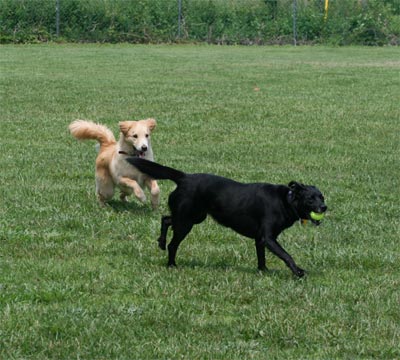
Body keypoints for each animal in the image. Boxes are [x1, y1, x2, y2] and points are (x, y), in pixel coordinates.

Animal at [126, 158, 326, 278]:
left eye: (322, 197)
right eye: (310, 198)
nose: (324, 207)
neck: (286, 200)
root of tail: (184, 177)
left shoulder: (260, 239)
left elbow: (261, 257)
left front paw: (263, 271)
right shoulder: (268, 238)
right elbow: (286, 255)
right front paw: (298, 272)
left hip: (193, 217)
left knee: (166, 219)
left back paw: (160, 242)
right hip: (187, 222)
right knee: (173, 243)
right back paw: (171, 264)